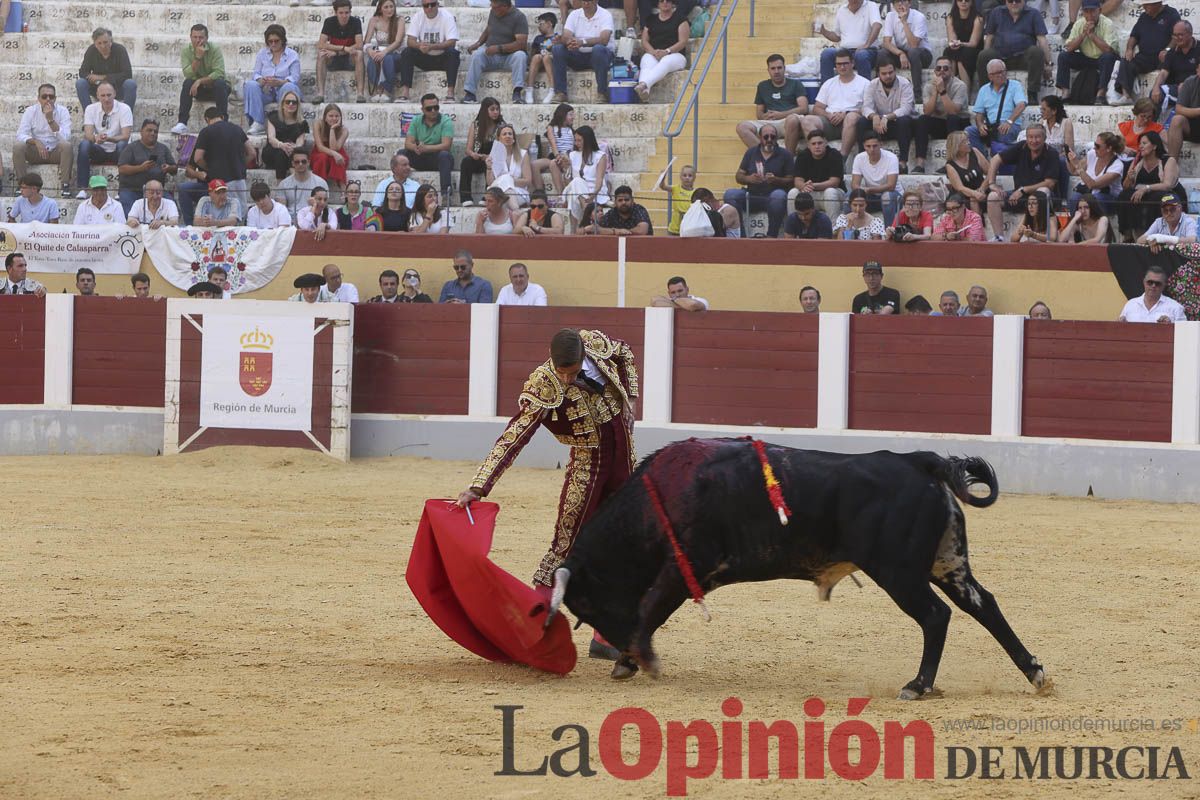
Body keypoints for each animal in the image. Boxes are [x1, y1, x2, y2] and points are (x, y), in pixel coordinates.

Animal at [549, 438, 1046, 700]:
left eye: (586, 604)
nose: (615, 648)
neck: (663, 493)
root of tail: (919, 461)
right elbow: (653, 609)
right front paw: (631, 660)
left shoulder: (686, 565)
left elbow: (652, 607)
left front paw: (639, 660)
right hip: (947, 563)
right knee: (984, 605)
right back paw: (1036, 674)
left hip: (899, 573)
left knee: (935, 615)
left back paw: (918, 685)